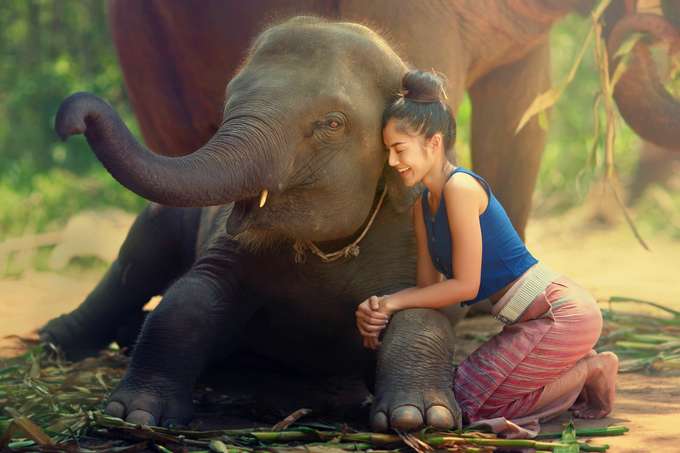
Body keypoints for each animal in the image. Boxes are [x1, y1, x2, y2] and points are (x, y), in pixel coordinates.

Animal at [41, 0, 680, 432]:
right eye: (229, 105)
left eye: (331, 124)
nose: (71, 117)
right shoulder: (230, 241)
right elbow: (192, 298)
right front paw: (134, 416)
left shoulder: (415, 231)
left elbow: (427, 310)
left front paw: (420, 419)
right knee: (138, 258)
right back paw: (63, 339)